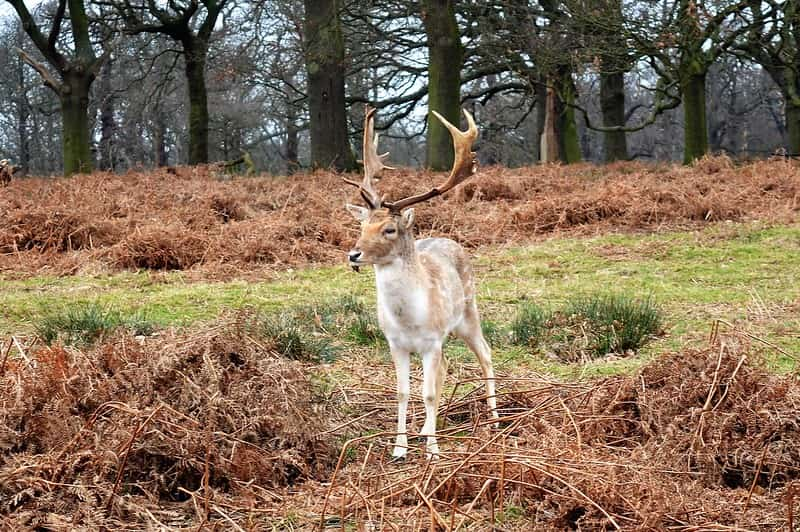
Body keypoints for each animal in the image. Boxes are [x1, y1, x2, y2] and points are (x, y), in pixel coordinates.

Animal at [346, 106, 496, 460]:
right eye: (361, 226)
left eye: (389, 229)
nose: (353, 254)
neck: (410, 320)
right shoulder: (394, 343)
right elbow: (402, 392)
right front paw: (400, 448)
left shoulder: (431, 341)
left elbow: (426, 393)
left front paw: (433, 451)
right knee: (445, 371)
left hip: (468, 312)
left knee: (485, 354)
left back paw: (495, 418)